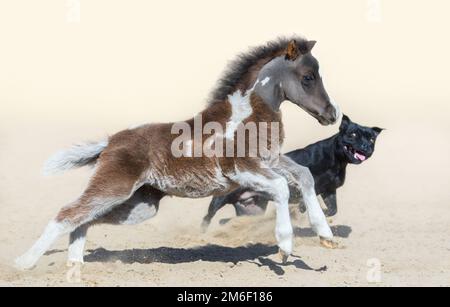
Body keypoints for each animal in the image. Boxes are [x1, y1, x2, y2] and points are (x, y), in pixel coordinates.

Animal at [202, 115, 382, 231]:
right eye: (353, 134)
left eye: (371, 139)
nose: (366, 146)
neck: (336, 160)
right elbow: (305, 202)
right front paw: (301, 210)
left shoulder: (329, 190)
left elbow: (332, 209)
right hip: (219, 200)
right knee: (207, 217)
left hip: (252, 209)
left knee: (229, 220)